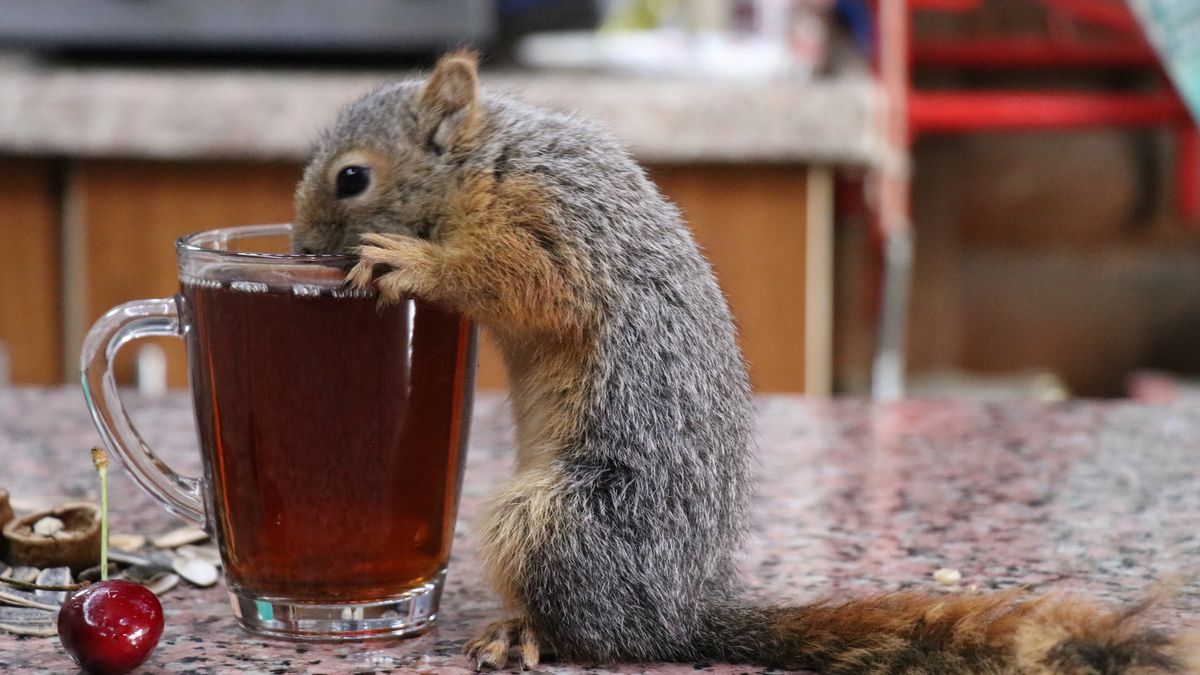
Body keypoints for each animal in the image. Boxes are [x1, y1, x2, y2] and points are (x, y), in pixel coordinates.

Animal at [292, 51, 1195, 674]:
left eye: (352, 177)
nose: (298, 249)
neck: (490, 165)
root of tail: (682, 612)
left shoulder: (552, 226)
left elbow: (524, 283)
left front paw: (412, 263)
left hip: (561, 515)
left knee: (597, 633)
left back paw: (528, 630)